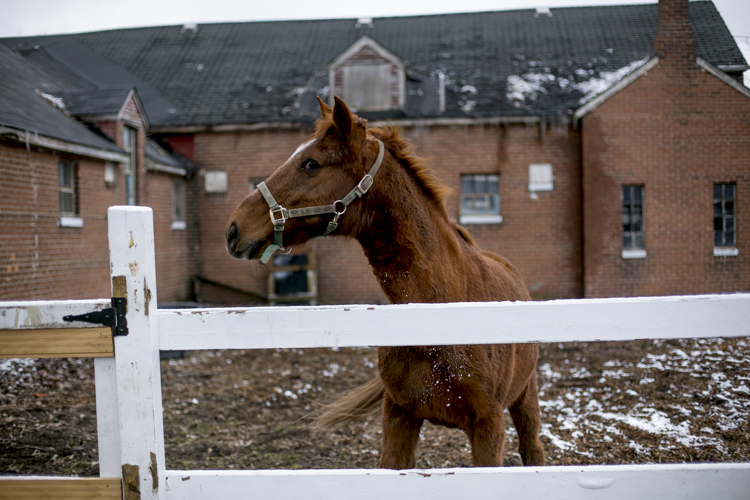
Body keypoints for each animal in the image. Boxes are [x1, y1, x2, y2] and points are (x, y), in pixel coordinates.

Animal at [225, 96, 548, 468]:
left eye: (310, 164)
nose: (234, 229)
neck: (445, 312)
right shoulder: (397, 417)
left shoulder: (488, 427)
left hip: (526, 396)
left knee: (533, 449)